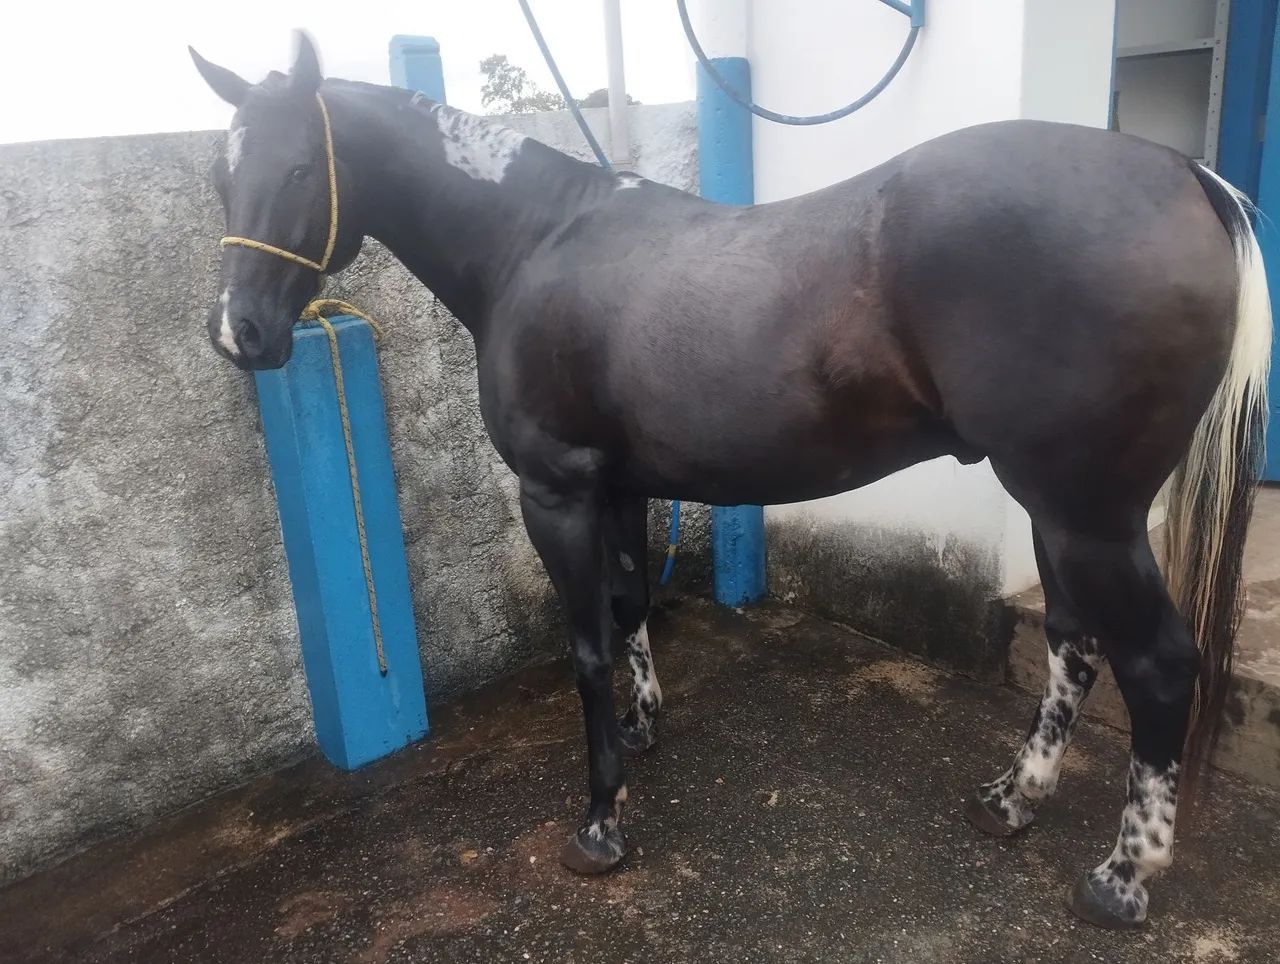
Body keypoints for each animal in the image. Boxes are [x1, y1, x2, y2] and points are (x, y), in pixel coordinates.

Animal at [190, 34, 1271, 929]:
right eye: (221, 174)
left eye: (299, 166)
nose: (240, 333)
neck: (534, 241)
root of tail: (1182, 174)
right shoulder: (620, 486)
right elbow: (630, 606)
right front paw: (642, 729)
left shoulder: (556, 492)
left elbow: (586, 645)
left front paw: (600, 821)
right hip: (1060, 510)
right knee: (1072, 645)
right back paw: (1011, 801)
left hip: (1088, 512)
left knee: (1157, 663)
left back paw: (1122, 877)